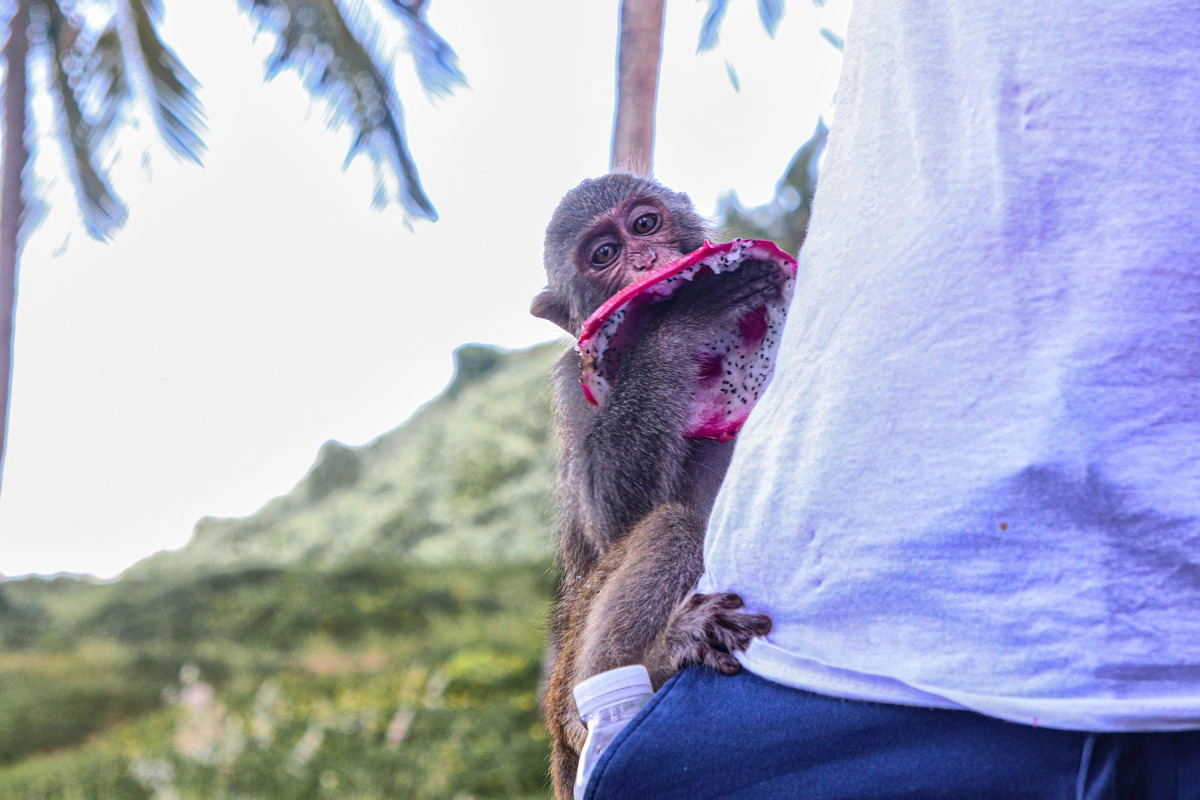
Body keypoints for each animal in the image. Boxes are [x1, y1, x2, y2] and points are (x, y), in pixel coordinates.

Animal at [535, 172, 777, 796]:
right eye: (603, 255)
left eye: (644, 224)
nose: (645, 260)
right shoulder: (573, 378)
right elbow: (610, 518)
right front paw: (679, 322)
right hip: (572, 690)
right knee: (674, 528)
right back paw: (659, 660)